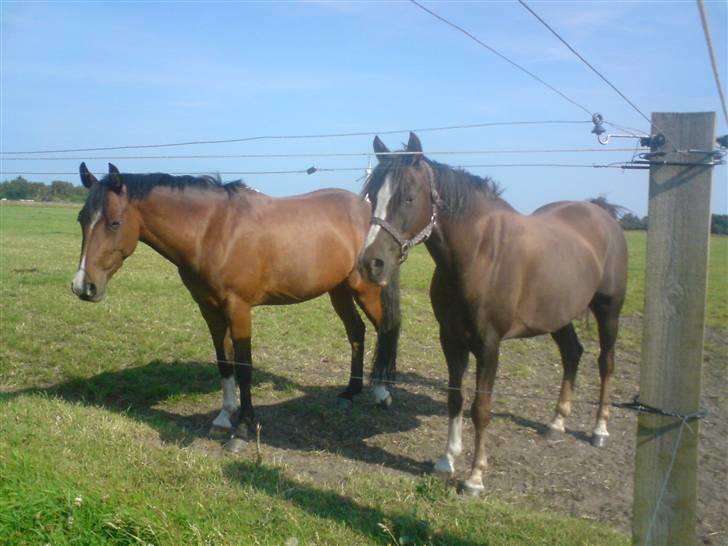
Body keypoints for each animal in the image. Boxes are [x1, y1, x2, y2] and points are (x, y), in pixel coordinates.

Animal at [71, 162, 400, 447]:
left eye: (114, 222)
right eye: (81, 219)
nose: (83, 286)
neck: (212, 231)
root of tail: (370, 212)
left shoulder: (238, 308)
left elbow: (244, 367)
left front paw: (242, 427)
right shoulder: (209, 308)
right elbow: (224, 363)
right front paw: (223, 418)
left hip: (366, 289)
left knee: (386, 328)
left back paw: (381, 392)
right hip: (339, 290)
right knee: (356, 332)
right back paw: (350, 392)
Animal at [357, 133, 628, 495]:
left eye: (409, 198)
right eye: (372, 196)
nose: (370, 263)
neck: (479, 254)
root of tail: (601, 212)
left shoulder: (489, 345)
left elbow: (481, 409)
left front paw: (474, 478)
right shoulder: (451, 339)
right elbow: (455, 399)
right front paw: (446, 461)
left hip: (608, 311)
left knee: (605, 363)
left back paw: (599, 430)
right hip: (558, 315)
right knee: (572, 354)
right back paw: (556, 423)